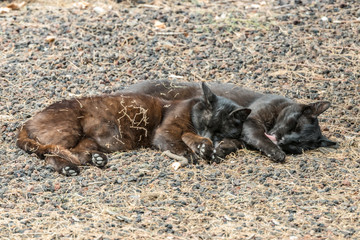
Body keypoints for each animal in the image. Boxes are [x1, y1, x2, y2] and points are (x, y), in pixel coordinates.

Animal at [17, 83, 250, 175]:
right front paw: (192, 153)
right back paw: (68, 168)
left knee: (76, 153)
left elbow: (192, 139)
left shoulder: (186, 132)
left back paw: (96, 159)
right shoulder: (166, 131)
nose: (208, 135)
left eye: (220, 131)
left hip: (87, 138)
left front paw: (206, 148)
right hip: (69, 130)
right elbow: (178, 143)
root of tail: (26, 123)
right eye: (206, 123)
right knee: (51, 155)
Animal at [125, 80, 336, 161]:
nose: (284, 140)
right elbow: (259, 136)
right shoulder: (251, 122)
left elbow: (232, 144)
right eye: (294, 124)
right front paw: (276, 152)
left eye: (297, 145)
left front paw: (219, 150)